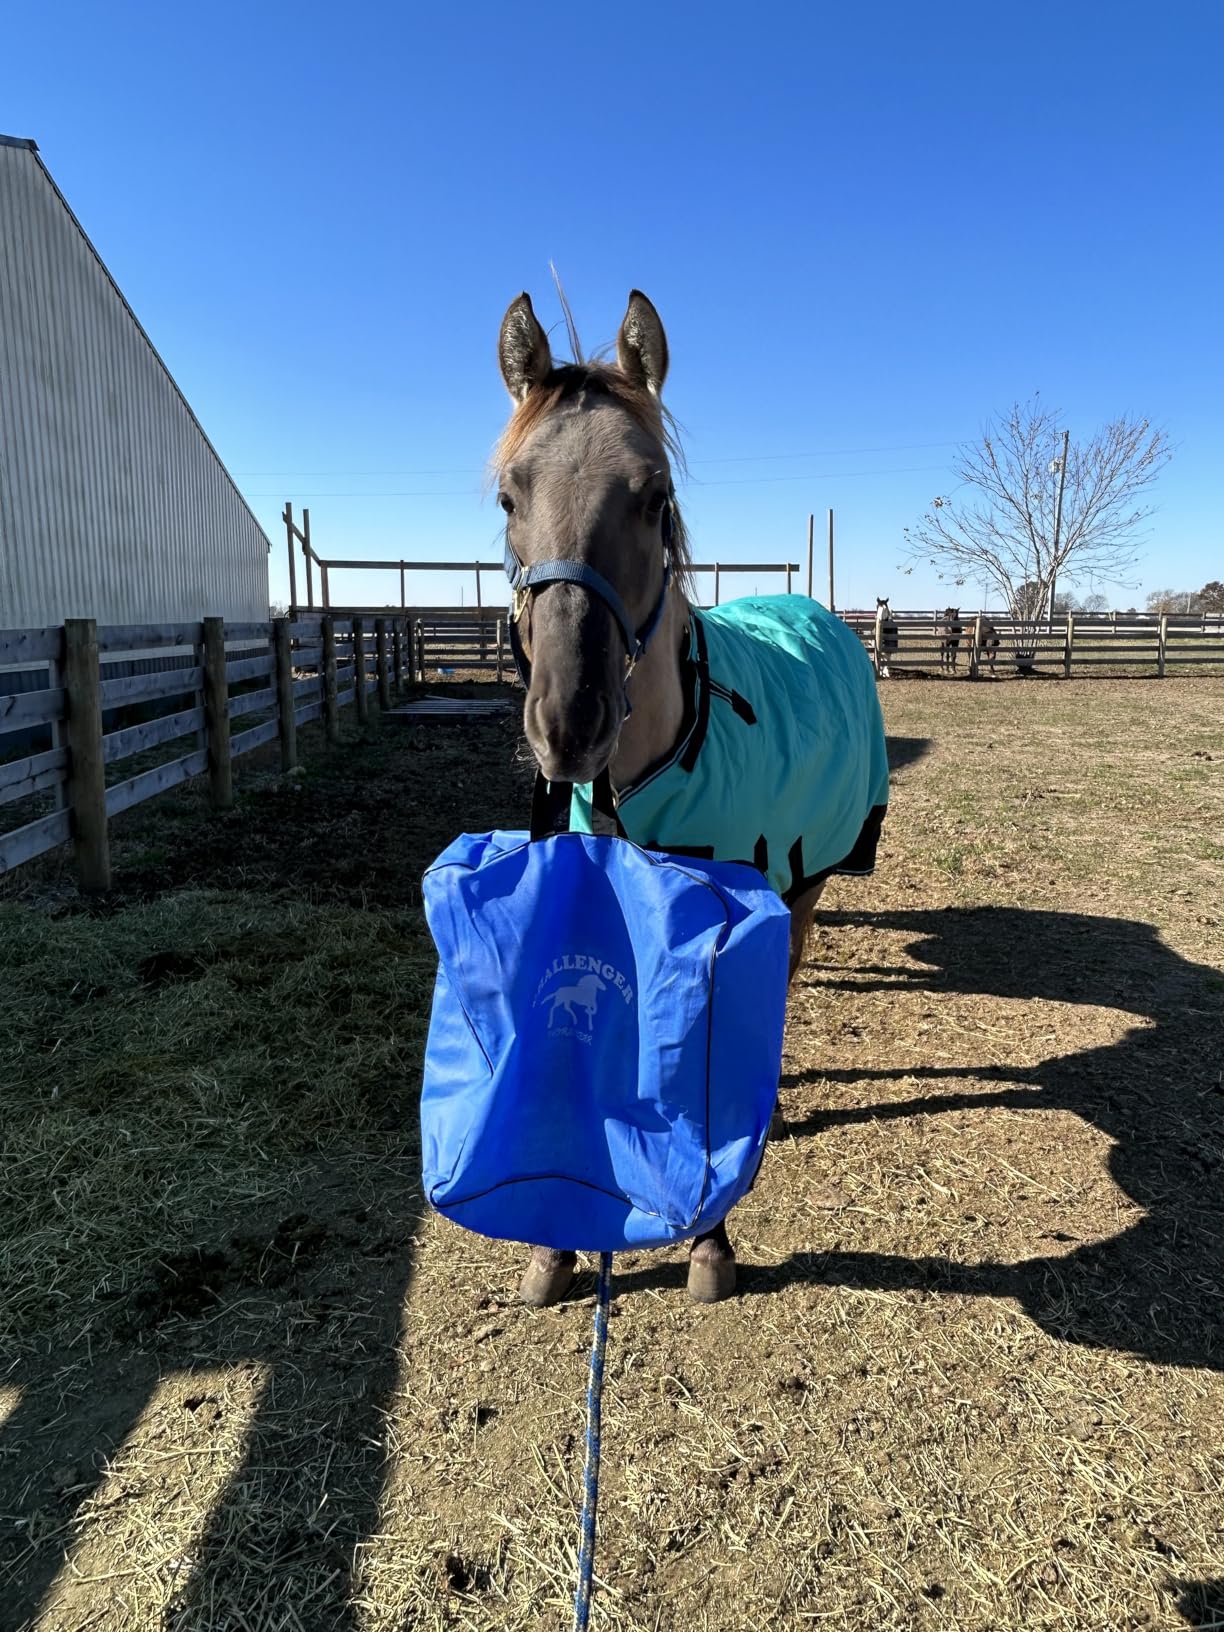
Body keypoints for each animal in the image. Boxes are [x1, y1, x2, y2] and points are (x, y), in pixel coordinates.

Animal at [494, 289, 888, 1305]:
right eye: (509, 497)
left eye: (655, 495)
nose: (569, 720)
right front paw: (557, 1246)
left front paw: (710, 1241)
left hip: (809, 877)